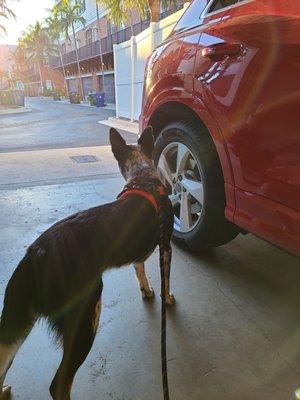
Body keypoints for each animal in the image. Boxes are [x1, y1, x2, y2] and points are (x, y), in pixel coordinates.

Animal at [0, 127, 175, 400]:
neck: (143, 177)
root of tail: (35, 256)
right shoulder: (165, 245)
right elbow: (165, 279)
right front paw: (168, 299)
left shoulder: (139, 251)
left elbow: (140, 270)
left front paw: (146, 291)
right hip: (86, 312)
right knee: (59, 384)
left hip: (17, 320)